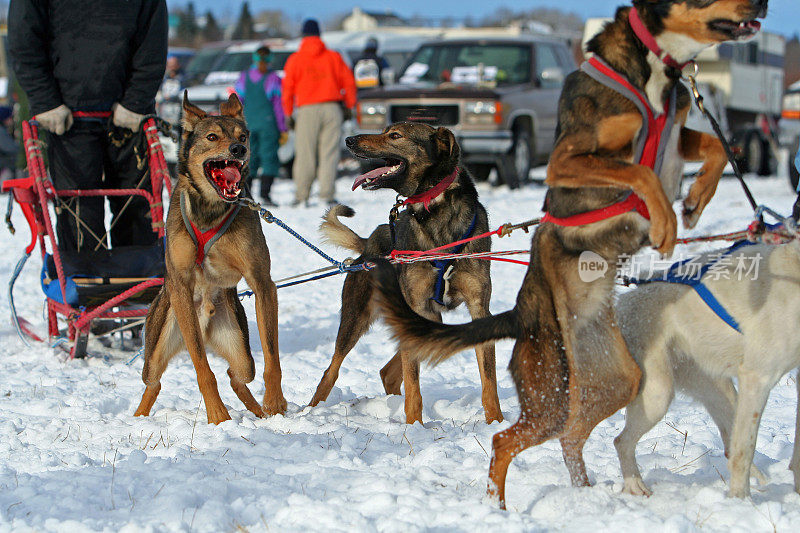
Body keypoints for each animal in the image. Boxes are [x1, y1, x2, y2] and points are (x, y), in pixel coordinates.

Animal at [134, 92, 288, 424]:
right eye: (212, 137)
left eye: (243, 136)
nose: (238, 149)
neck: (210, 210)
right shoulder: (180, 285)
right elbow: (202, 368)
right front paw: (217, 414)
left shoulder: (262, 283)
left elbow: (272, 355)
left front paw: (274, 402)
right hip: (158, 346)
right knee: (153, 382)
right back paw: (138, 418)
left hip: (241, 351)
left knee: (236, 375)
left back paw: (258, 412)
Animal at [306, 120, 500, 424]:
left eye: (395, 135)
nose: (349, 140)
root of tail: (370, 242)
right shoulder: (417, 305)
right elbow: (413, 383)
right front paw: (414, 426)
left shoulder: (479, 307)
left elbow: (489, 379)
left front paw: (496, 423)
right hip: (357, 317)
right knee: (331, 371)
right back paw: (310, 412)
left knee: (388, 372)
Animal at [372, 0, 764, 508]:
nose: (762, 7)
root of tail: (521, 314)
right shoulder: (567, 158)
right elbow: (641, 172)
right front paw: (666, 220)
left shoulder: (680, 135)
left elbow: (716, 145)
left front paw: (695, 199)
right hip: (550, 394)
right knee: (506, 440)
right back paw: (501, 507)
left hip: (617, 382)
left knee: (570, 435)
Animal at [612, 239, 800, 496]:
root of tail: (623, 303)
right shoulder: (758, 377)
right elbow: (744, 451)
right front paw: (740, 500)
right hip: (658, 395)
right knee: (621, 442)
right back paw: (635, 485)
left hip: (720, 393)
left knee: (729, 444)